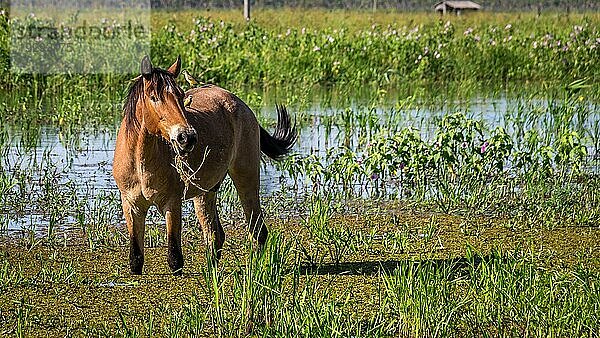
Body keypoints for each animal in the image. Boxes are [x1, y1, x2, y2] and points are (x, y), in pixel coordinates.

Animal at [112, 56, 296, 274]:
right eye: (153, 97)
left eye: (181, 95)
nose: (187, 137)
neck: (141, 163)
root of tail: (240, 103)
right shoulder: (131, 206)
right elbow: (136, 260)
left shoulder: (172, 203)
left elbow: (175, 259)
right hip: (204, 192)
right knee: (215, 234)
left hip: (246, 179)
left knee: (257, 230)